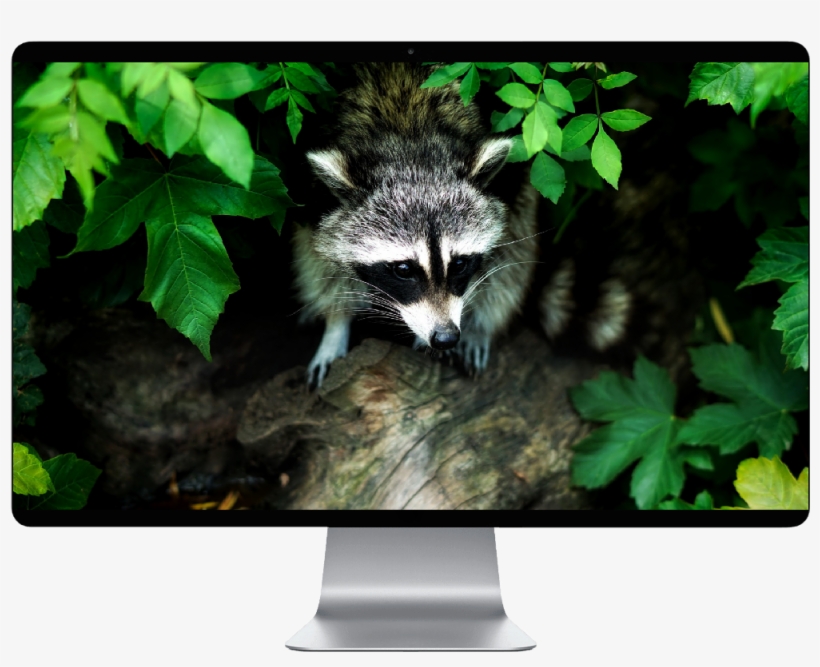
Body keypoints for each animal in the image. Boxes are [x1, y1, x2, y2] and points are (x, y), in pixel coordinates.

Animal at [294, 63, 539, 388]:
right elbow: (320, 259)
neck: (409, 135)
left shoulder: (509, 182)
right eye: (403, 269)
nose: (446, 337)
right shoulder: (313, 196)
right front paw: (336, 325)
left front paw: (477, 325)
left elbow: (508, 252)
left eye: (459, 264)